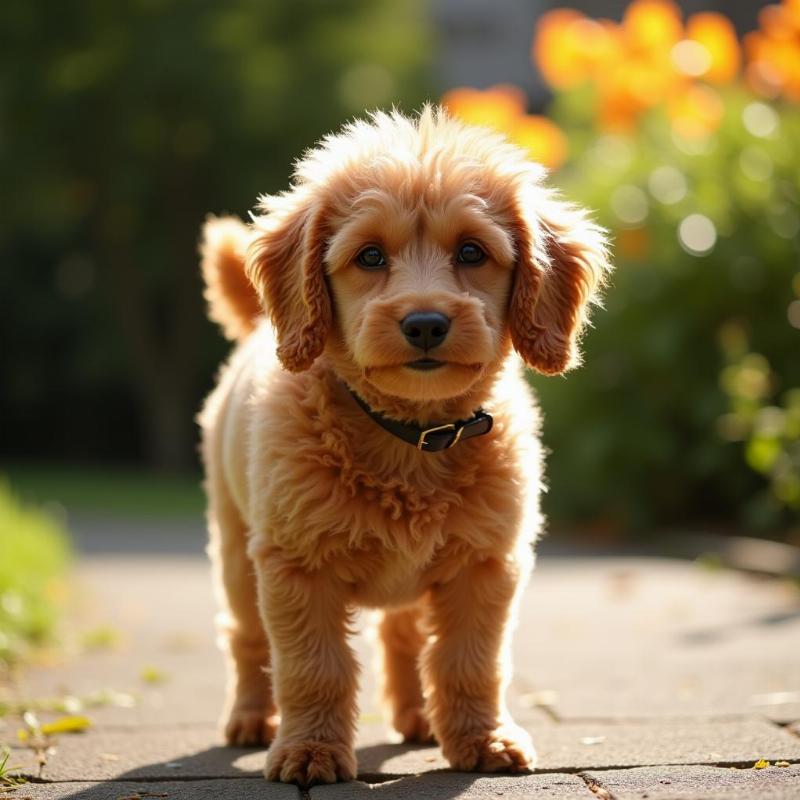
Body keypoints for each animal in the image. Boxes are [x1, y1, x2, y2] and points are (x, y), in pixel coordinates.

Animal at [197, 108, 608, 788]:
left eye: (471, 252)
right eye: (369, 256)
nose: (424, 323)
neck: (411, 437)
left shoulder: (483, 565)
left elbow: (471, 661)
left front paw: (483, 739)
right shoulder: (295, 565)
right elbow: (314, 666)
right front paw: (310, 751)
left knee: (404, 638)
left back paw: (419, 718)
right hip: (237, 551)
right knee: (246, 638)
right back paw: (253, 718)